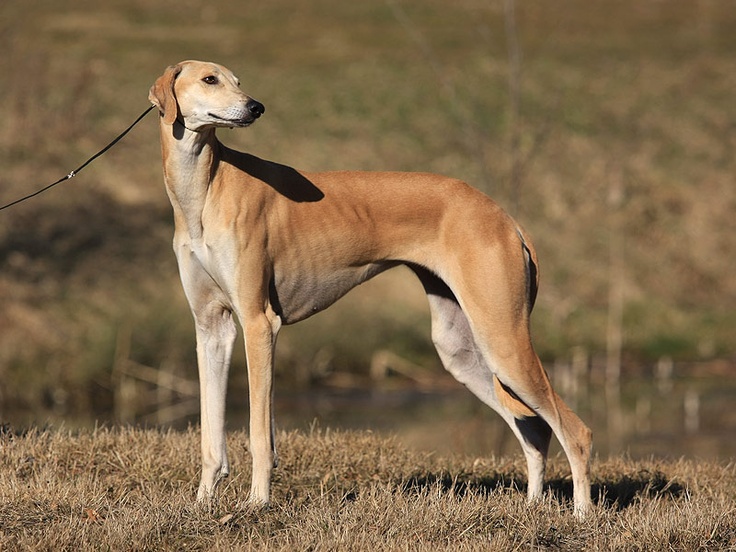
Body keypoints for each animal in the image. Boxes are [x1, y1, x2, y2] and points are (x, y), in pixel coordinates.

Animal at [148, 61, 592, 516]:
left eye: (236, 81)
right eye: (210, 79)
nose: (255, 107)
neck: (205, 189)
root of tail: (505, 217)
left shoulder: (259, 324)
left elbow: (259, 435)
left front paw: (256, 504)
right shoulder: (212, 329)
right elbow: (210, 436)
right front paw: (201, 503)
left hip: (502, 338)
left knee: (574, 431)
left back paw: (580, 515)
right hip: (463, 351)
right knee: (534, 428)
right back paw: (533, 507)